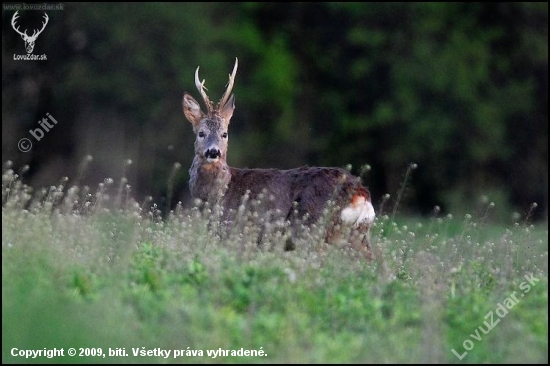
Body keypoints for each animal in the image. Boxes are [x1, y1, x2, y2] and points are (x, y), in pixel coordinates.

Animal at [183, 57, 378, 258]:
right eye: (201, 133)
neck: (220, 194)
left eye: (224, 134)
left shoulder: (236, 231)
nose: (213, 152)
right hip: (357, 235)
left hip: (314, 229)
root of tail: (361, 194)